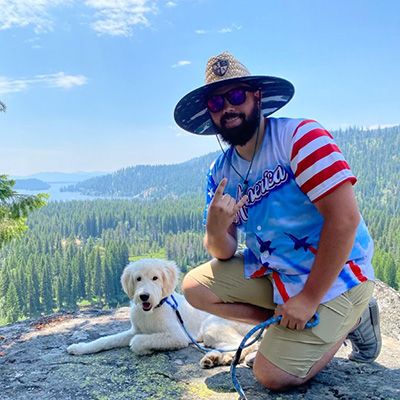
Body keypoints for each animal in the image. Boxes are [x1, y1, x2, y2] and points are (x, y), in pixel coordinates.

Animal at [67, 258, 258, 368]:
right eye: (138, 278)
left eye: (155, 278)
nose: (144, 296)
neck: (151, 311)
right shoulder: (135, 330)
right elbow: (105, 340)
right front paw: (80, 348)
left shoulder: (176, 336)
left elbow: (138, 341)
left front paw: (145, 349)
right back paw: (214, 358)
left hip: (213, 325)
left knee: (244, 344)